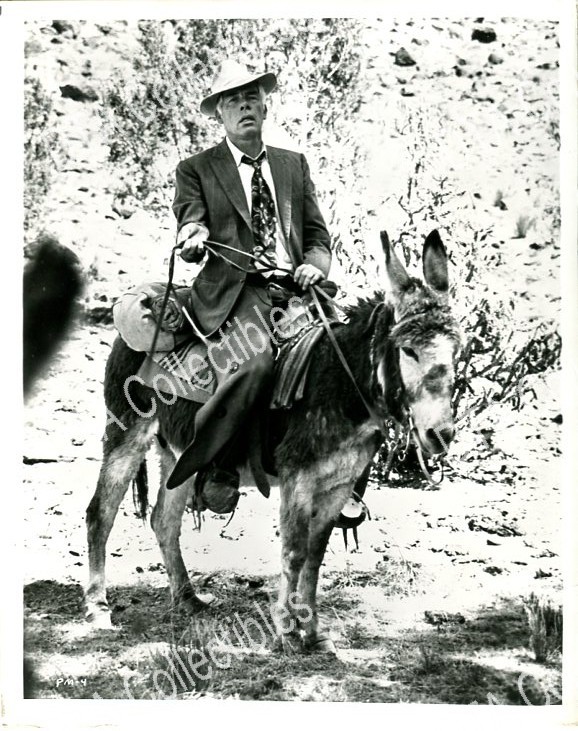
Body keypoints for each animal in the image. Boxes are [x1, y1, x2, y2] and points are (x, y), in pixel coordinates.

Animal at [85, 229, 461, 653]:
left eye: (457, 351)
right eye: (409, 350)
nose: (440, 435)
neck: (338, 383)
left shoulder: (337, 485)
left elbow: (315, 555)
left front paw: (314, 632)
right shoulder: (298, 479)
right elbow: (294, 552)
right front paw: (286, 631)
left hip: (180, 454)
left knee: (163, 520)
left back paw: (187, 598)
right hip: (127, 433)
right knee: (100, 513)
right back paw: (98, 608)